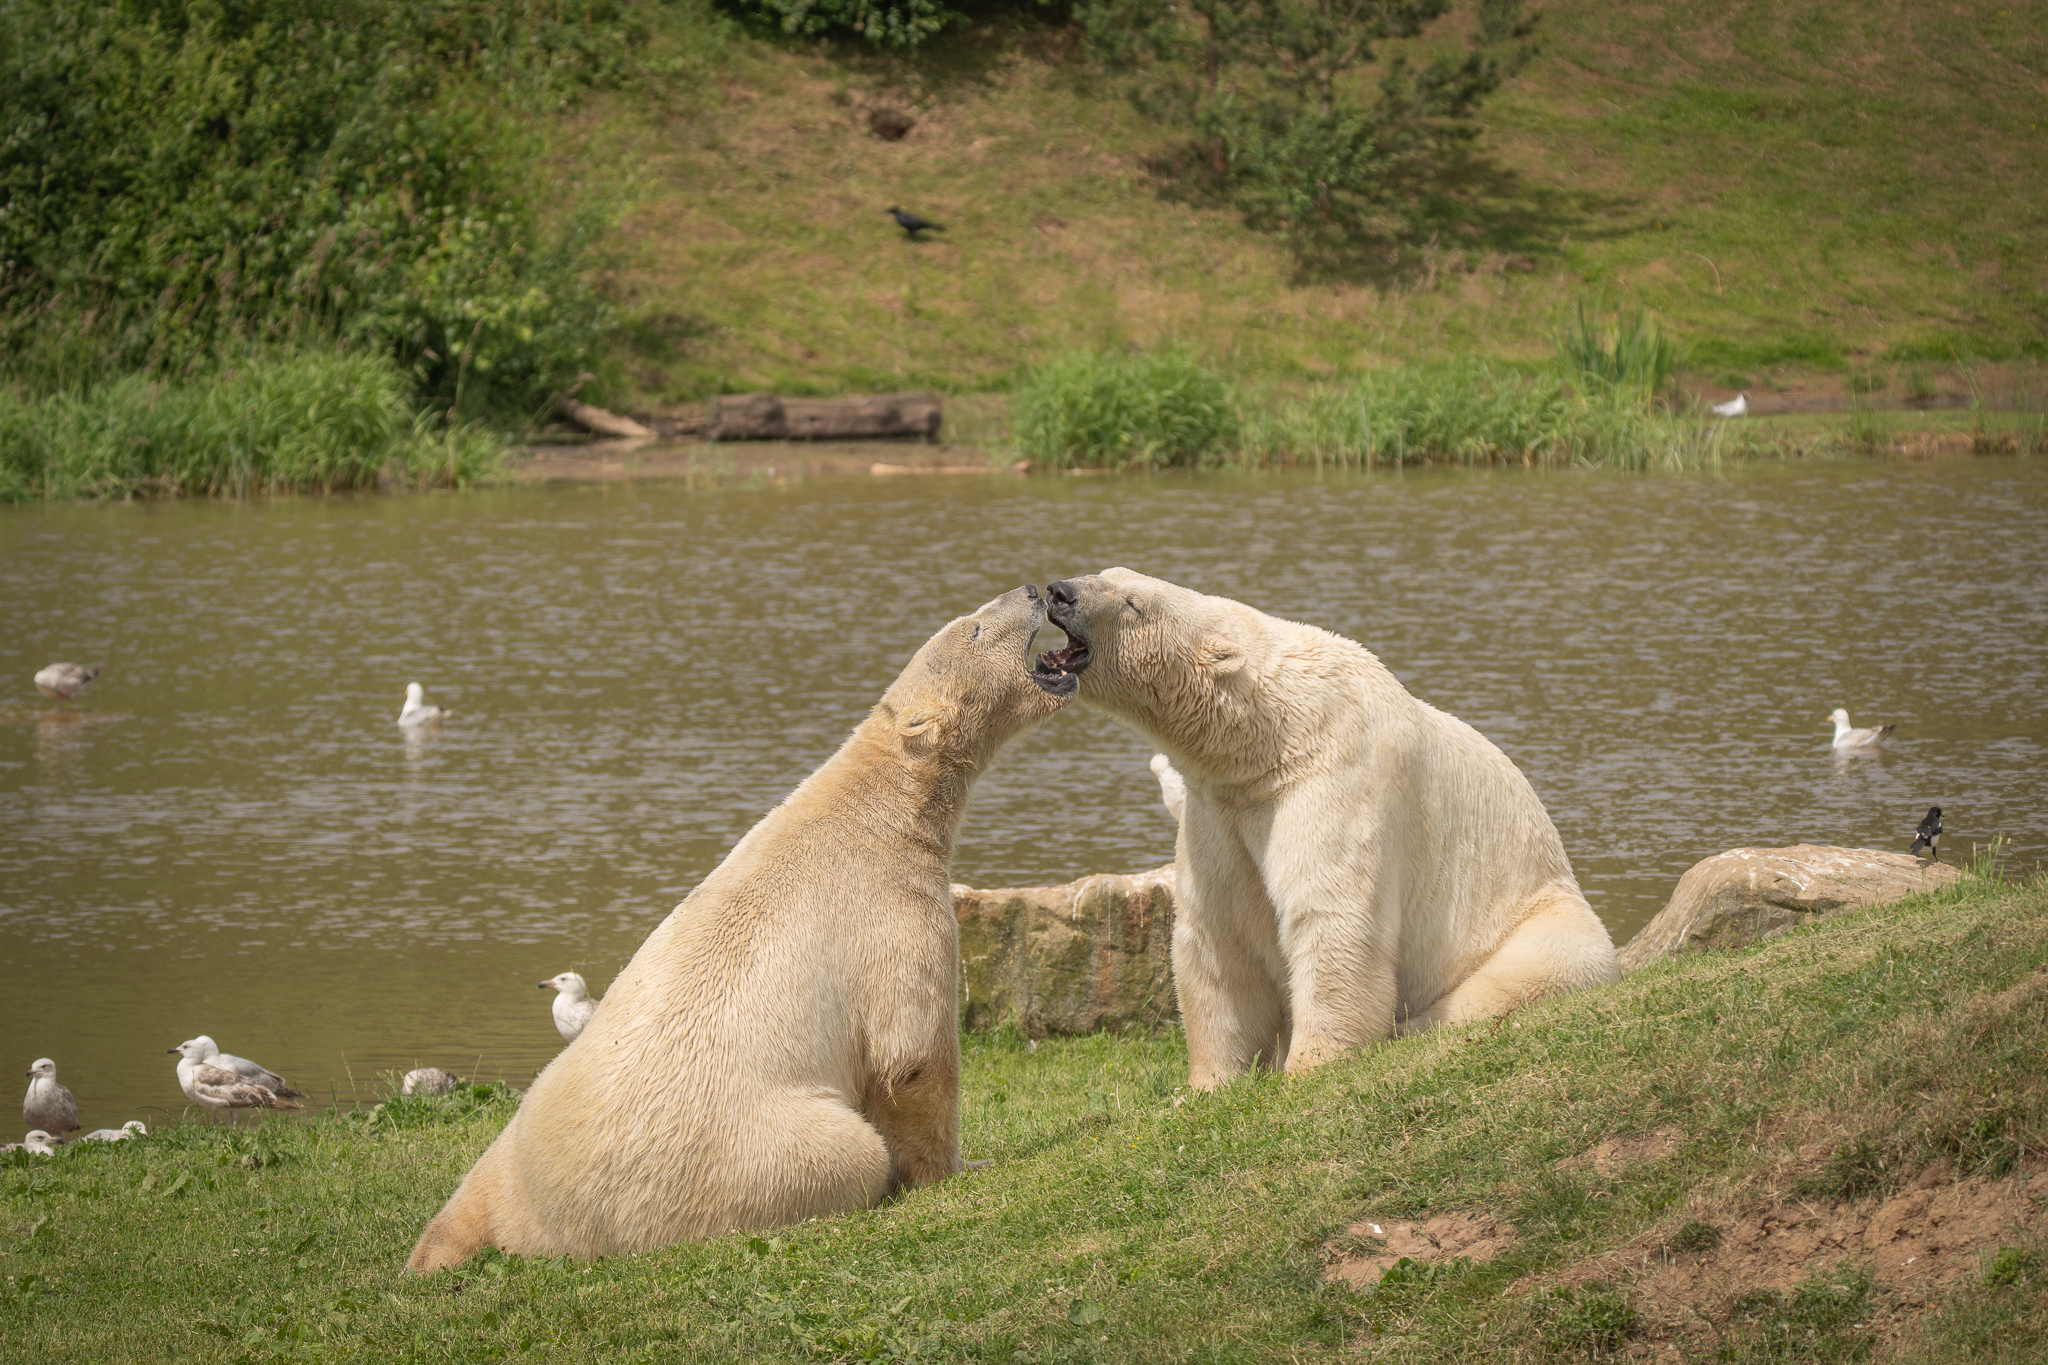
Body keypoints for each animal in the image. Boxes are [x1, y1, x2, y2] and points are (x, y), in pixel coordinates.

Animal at [407, 585, 1076, 1272]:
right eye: (974, 628)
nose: (1033, 590)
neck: (879, 808)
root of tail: (550, 1227)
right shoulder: (892, 914)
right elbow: (913, 1056)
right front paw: (964, 1166)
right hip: (753, 1153)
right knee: (846, 1151)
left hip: (516, 1138)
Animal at [1034, 569, 1618, 1088]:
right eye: (1103, 570)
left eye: (1133, 602)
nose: (1059, 591)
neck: (1266, 738)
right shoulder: (1219, 811)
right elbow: (1219, 939)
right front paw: (1205, 1085)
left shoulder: (1334, 779)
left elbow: (1331, 917)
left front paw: (1309, 1067)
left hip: (1539, 920)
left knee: (1517, 976)